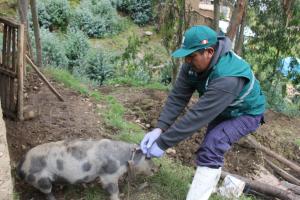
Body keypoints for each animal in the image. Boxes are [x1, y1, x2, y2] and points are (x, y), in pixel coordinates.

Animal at [16, 139, 157, 200]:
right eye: (148, 157)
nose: (156, 168)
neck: (124, 159)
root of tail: (21, 166)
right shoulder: (110, 175)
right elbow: (113, 190)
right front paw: (116, 197)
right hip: (40, 179)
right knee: (47, 192)